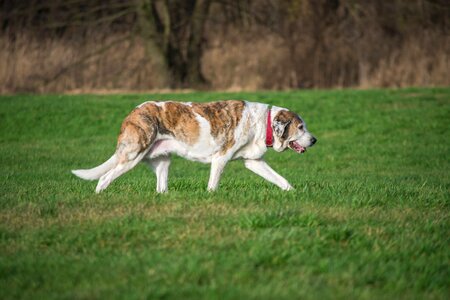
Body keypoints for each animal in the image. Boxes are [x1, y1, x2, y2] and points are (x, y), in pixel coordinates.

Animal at [71, 101, 316, 193]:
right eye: (301, 127)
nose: (314, 140)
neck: (262, 122)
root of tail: (132, 113)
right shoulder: (221, 159)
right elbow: (213, 185)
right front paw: (211, 197)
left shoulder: (253, 162)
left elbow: (280, 179)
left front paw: (294, 192)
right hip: (132, 155)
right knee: (104, 177)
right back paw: (99, 195)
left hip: (162, 162)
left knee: (160, 187)